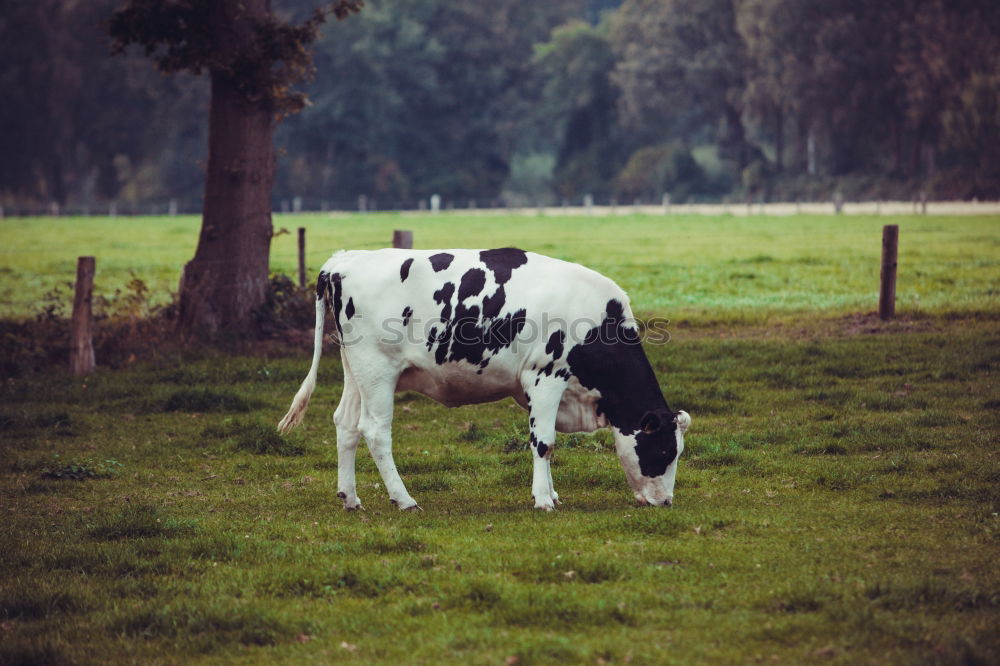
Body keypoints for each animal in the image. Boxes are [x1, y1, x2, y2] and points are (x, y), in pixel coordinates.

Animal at [278, 246, 692, 510]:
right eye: (665, 452)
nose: (666, 502)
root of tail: (344, 260)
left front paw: (552, 494)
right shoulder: (546, 376)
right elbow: (544, 442)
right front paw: (544, 500)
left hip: (356, 370)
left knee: (345, 425)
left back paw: (350, 498)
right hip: (378, 370)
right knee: (375, 431)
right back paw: (404, 500)